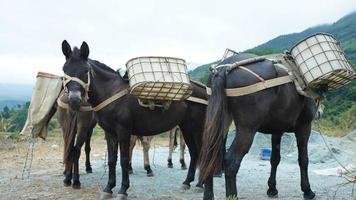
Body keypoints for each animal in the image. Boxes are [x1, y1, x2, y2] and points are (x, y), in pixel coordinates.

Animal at [60, 40, 206, 198]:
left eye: (86, 70)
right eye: (64, 70)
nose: (74, 101)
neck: (111, 92)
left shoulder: (124, 131)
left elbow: (124, 160)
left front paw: (123, 189)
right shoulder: (110, 133)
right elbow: (112, 160)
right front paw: (109, 188)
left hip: (197, 127)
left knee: (201, 151)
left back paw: (200, 184)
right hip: (186, 127)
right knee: (194, 152)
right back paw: (187, 182)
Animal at [199, 53, 318, 200]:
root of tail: (223, 69)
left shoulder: (277, 131)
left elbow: (275, 159)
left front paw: (272, 188)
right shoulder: (304, 127)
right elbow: (303, 160)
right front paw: (307, 190)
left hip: (220, 121)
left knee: (210, 154)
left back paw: (208, 195)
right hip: (247, 129)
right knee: (231, 162)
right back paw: (232, 195)